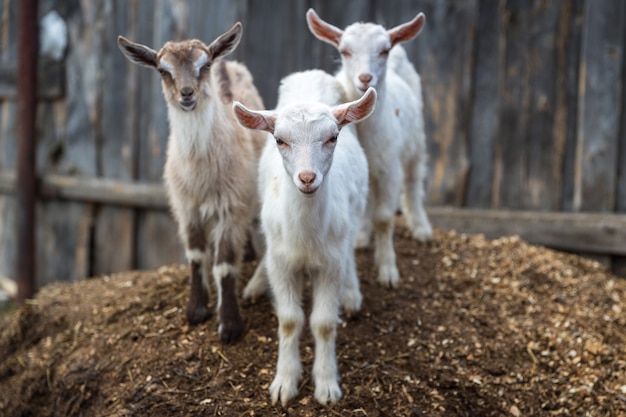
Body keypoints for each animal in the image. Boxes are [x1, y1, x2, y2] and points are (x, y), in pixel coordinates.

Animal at [116, 22, 264, 342]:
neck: (200, 173)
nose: (186, 94)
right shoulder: (187, 207)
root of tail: (228, 63)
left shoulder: (230, 205)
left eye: (204, 65)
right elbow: (196, 256)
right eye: (163, 70)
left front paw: (229, 325)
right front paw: (196, 310)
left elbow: (224, 265)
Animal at [232, 70, 372, 404]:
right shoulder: (282, 263)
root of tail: (312, 75)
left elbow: (323, 323)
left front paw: (326, 384)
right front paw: (284, 382)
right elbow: (289, 319)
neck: (306, 237)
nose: (307, 178)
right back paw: (256, 284)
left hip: (356, 208)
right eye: (279, 139)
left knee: (350, 250)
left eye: (333, 137)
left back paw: (351, 293)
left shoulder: (330, 264)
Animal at [304, 10, 432, 290]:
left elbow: (384, 218)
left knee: (414, 181)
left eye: (383, 51)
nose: (365, 79)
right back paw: (362, 235)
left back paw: (421, 227)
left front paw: (388, 270)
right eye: (344, 51)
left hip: (416, 140)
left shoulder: (389, 168)